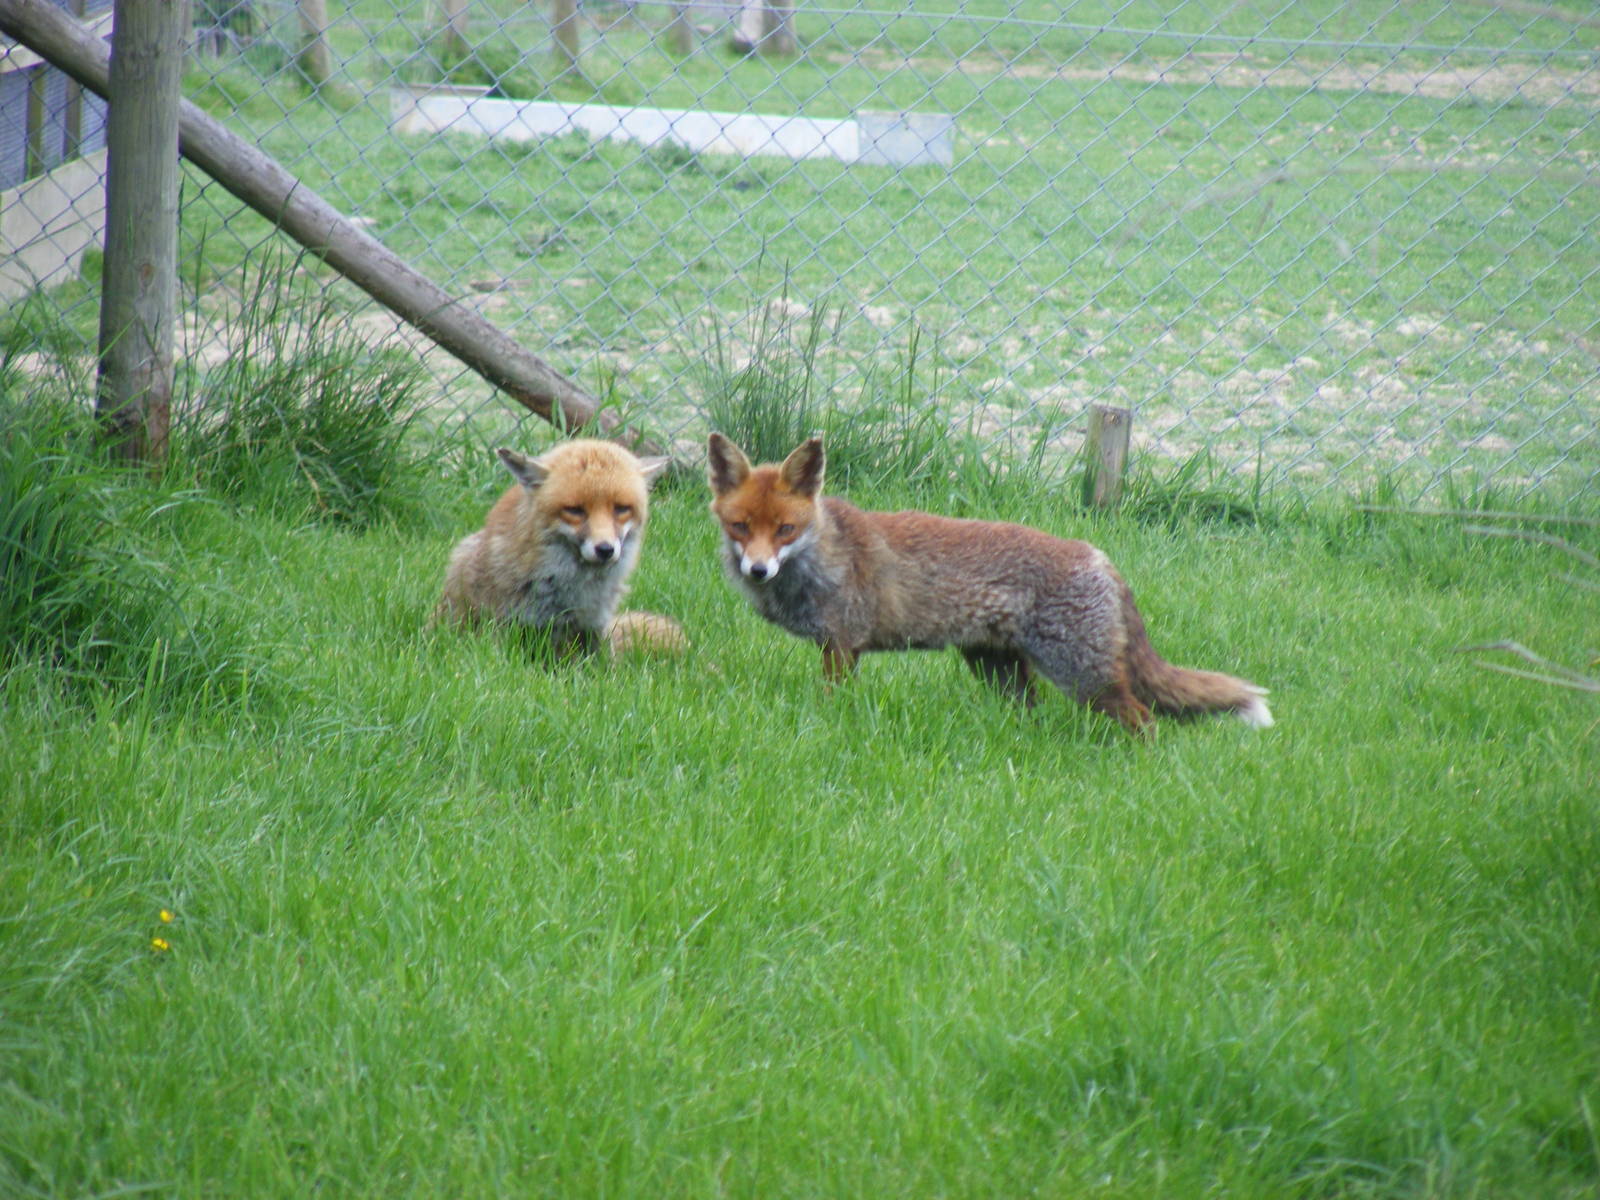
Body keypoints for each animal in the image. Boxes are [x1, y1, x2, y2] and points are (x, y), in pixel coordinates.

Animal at [706, 433, 1271, 734]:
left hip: (1082, 676)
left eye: (785, 529)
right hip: (998, 670)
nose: (758, 569)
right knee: (1032, 715)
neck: (821, 552)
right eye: (740, 527)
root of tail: (1098, 556)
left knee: (1145, 720)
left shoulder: (843, 644)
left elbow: (832, 701)